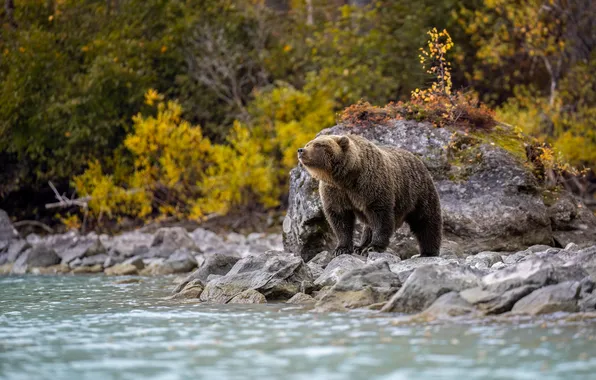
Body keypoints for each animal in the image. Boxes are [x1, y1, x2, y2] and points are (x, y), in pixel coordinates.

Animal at [298, 135, 442, 256]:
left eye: (319, 145)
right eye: (308, 143)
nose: (301, 150)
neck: (345, 178)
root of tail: (417, 159)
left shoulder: (371, 185)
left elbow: (380, 216)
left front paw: (374, 247)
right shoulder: (335, 192)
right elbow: (340, 218)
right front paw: (342, 248)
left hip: (417, 191)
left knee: (426, 219)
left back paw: (429, 251)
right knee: (368, 226)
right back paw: (361, 246)